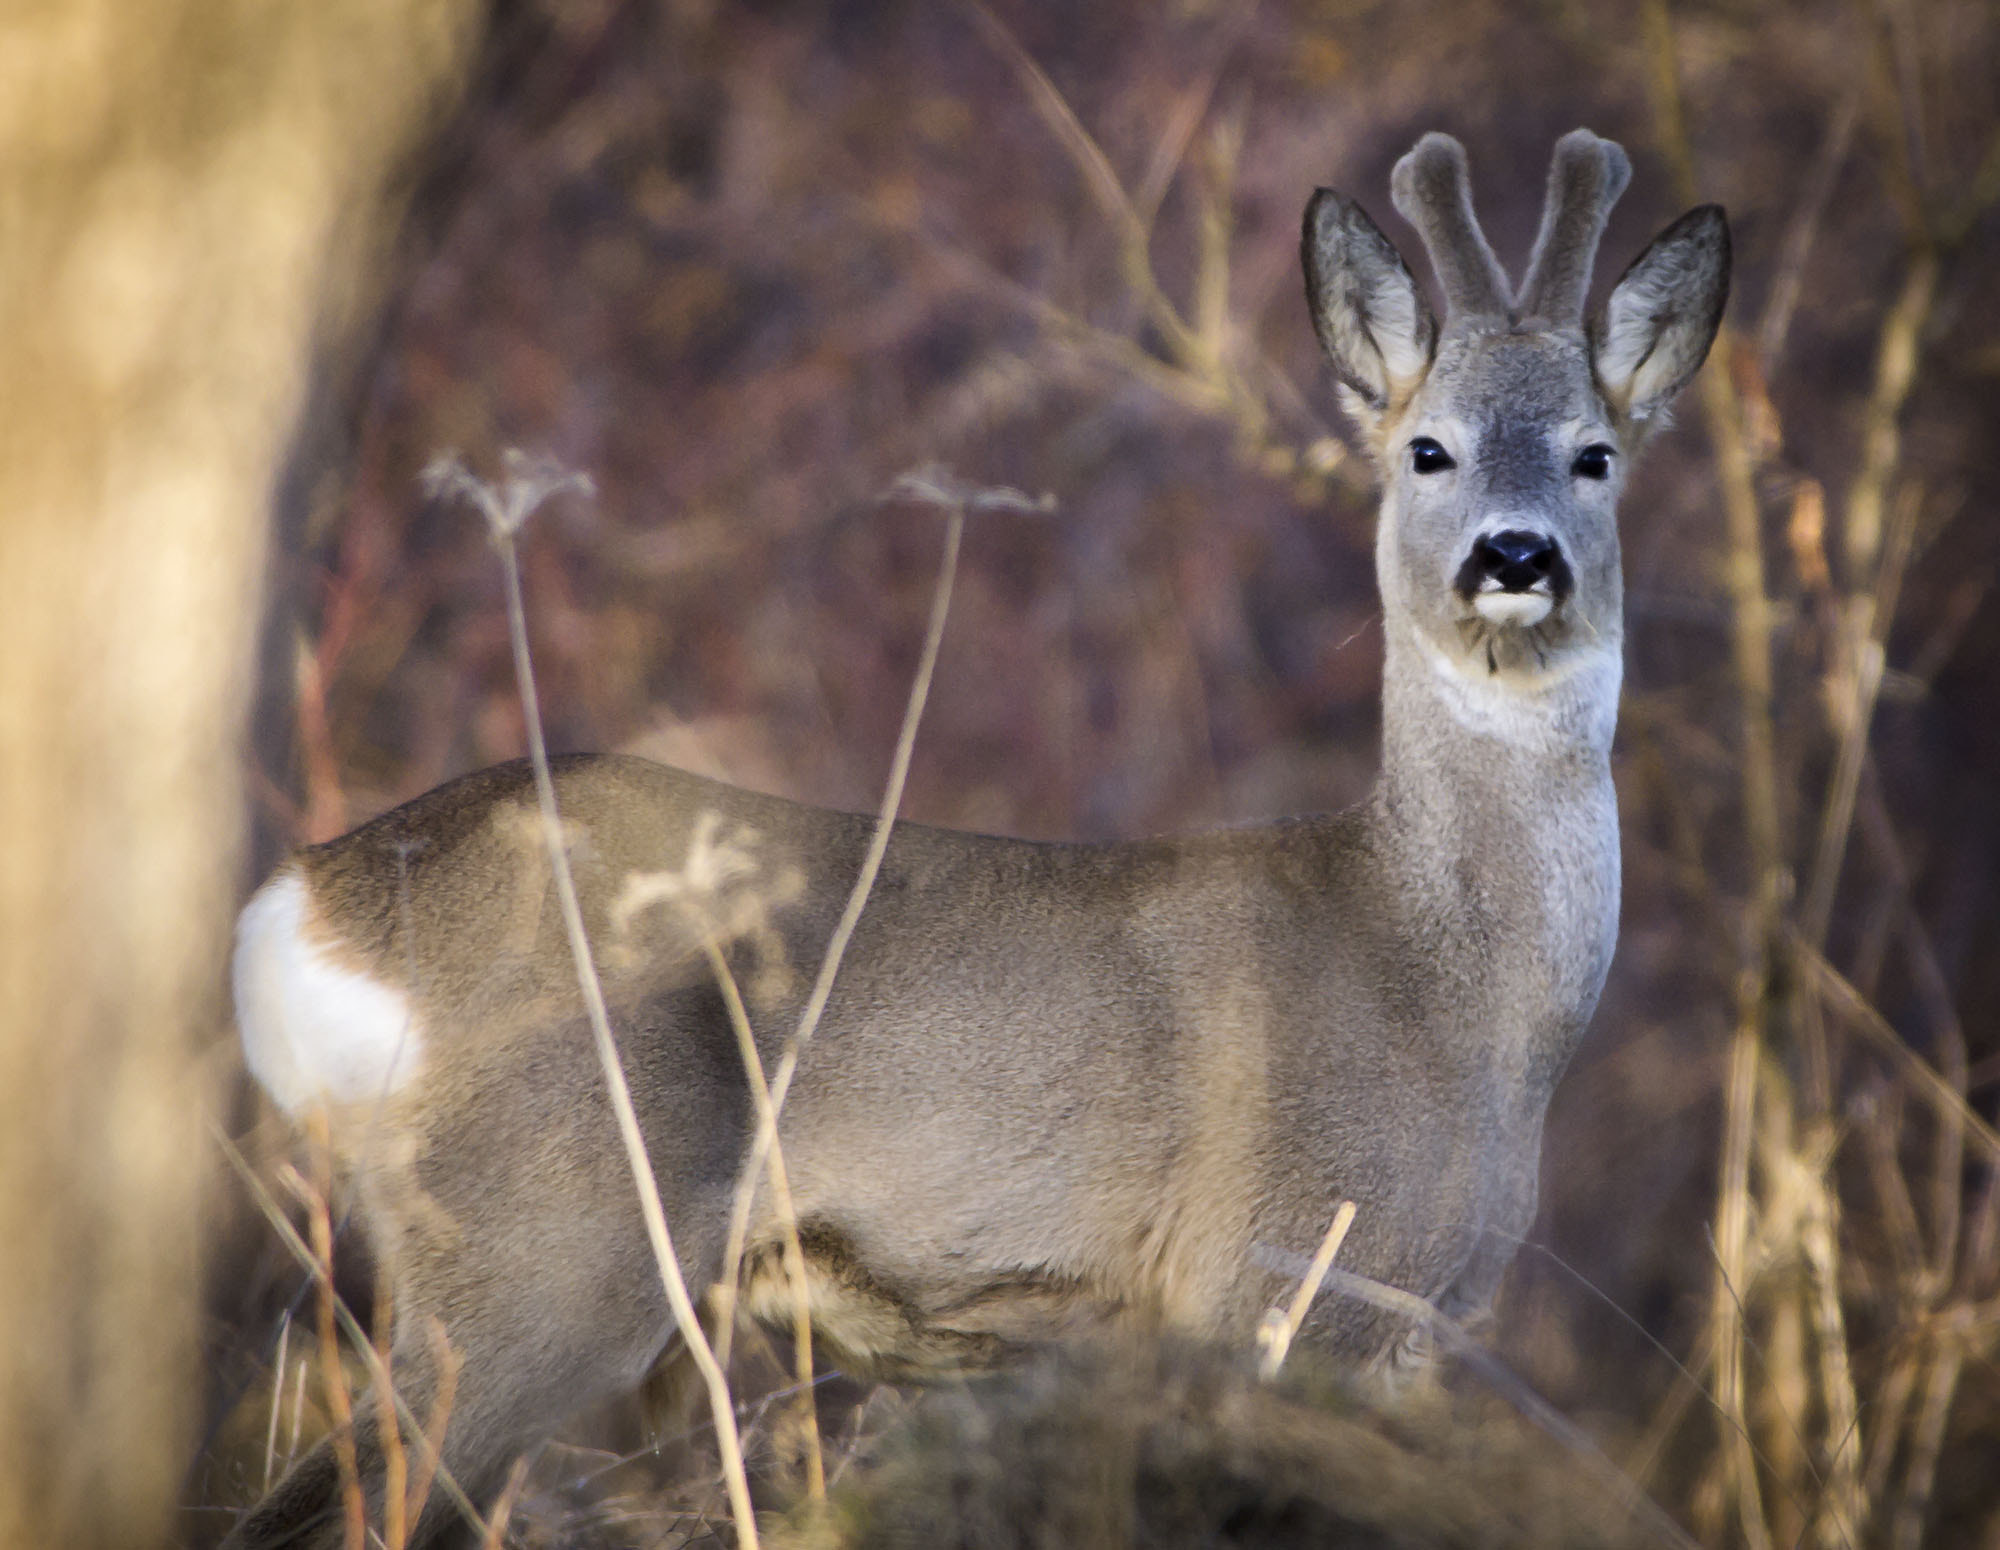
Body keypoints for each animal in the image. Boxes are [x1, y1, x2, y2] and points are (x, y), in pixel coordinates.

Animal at [219, 133, 1720, 1550]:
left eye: (1594, 453)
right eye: (1428, 448)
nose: (1514, 556)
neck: (1453, 984)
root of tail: (298, 907)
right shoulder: (1286, 1267)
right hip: (538, 1245)